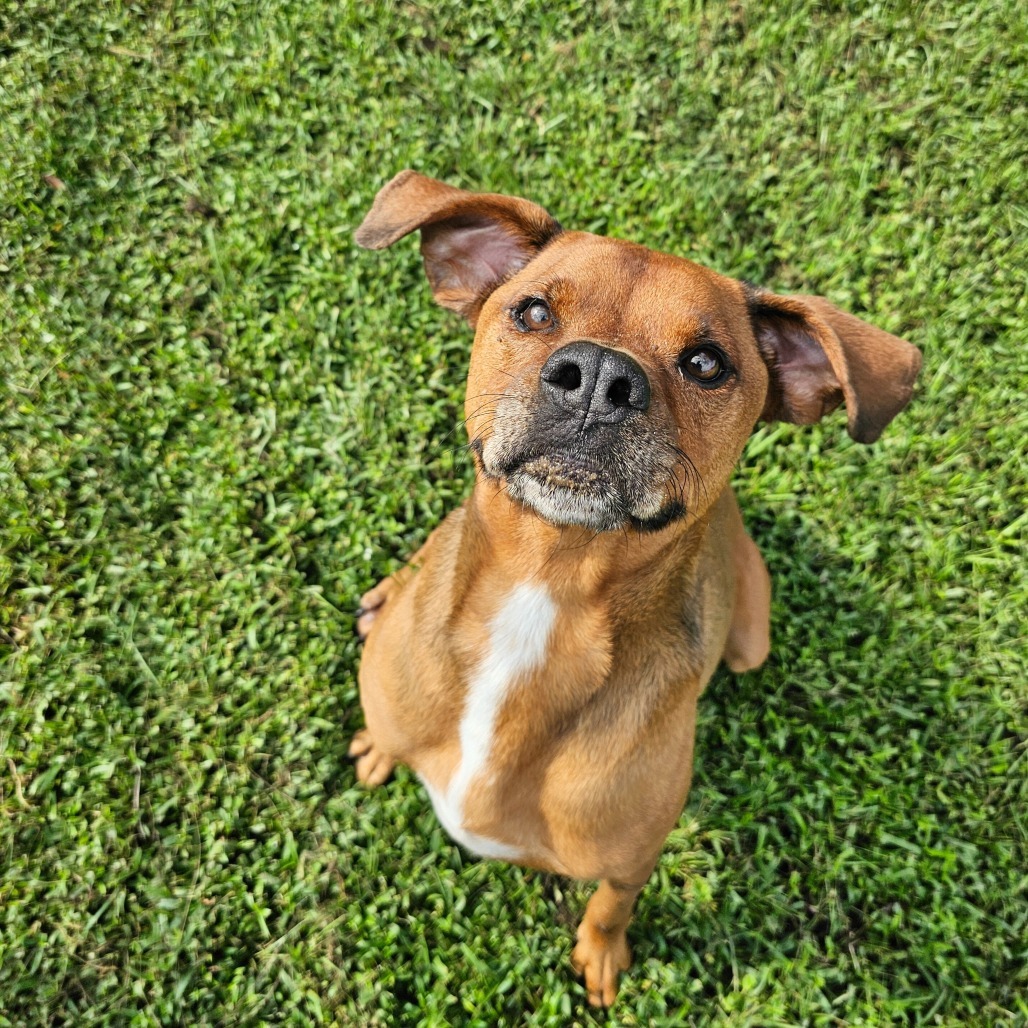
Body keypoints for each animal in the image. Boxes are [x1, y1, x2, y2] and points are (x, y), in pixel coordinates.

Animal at [347, 172, 925, 1007]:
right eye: (533, 312)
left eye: (708, 363)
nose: (598, 377)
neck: (546, 592)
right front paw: (376, 744)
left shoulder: (629, 863)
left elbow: (609, 908)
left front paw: (600, 956)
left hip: (751, 641)